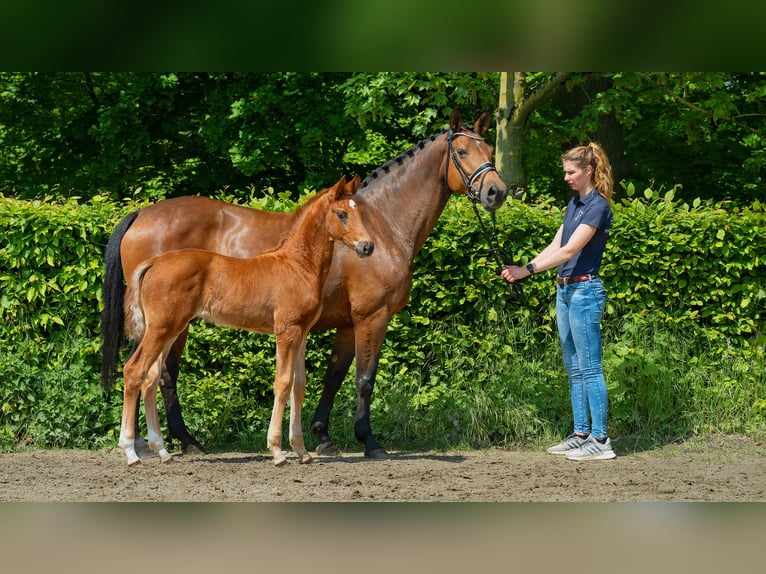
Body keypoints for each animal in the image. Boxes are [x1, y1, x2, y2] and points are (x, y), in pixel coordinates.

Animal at [118, 174, 374, 468]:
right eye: (341, 213)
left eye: (360, 212)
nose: (367, 246)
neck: (298, 265)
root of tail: (153, 263)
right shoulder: (286, 331)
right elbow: (282, 383)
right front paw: (277, 451)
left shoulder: (302, 332)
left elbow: (298, 386)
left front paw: (301, 451)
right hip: (160, 329)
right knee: (134, 371)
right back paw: (131, 452)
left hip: (170, 329)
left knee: (150, 378)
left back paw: (161, 450)